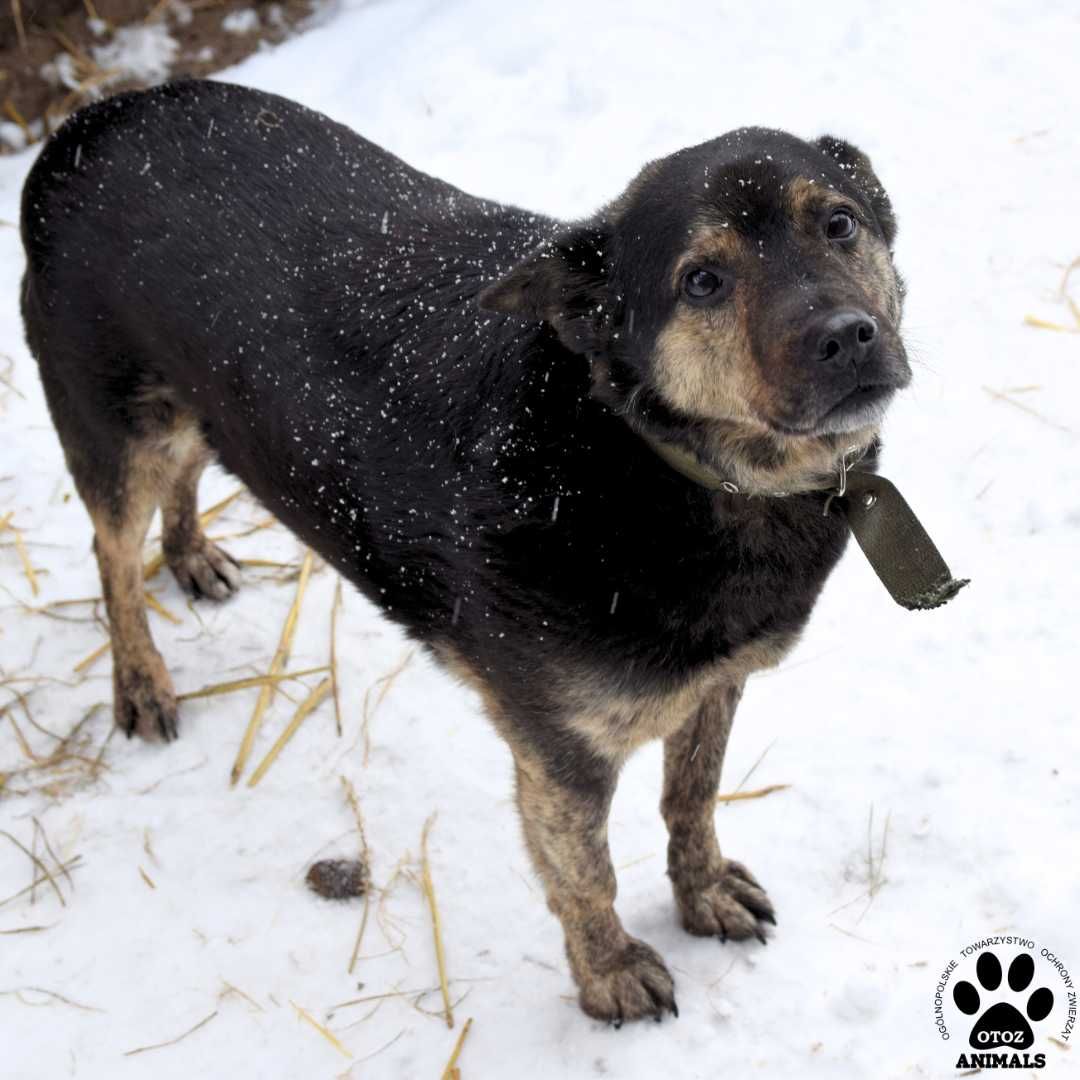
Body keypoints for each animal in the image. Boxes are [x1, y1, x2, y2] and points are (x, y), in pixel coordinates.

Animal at [21, 79, 907, 1023]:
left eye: (839, 223)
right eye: (702, 280)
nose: (846, 336)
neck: (642, 451)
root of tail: (89, 121)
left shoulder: (715, 684)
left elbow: (691, 798)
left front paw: (700, 891)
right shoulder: (559, 752)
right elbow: (585, 875)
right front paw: (610, 973)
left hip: (198, 408)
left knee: (186, 476)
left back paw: (192, 555)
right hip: (115, 427)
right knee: (113, 554)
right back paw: (141, 683)